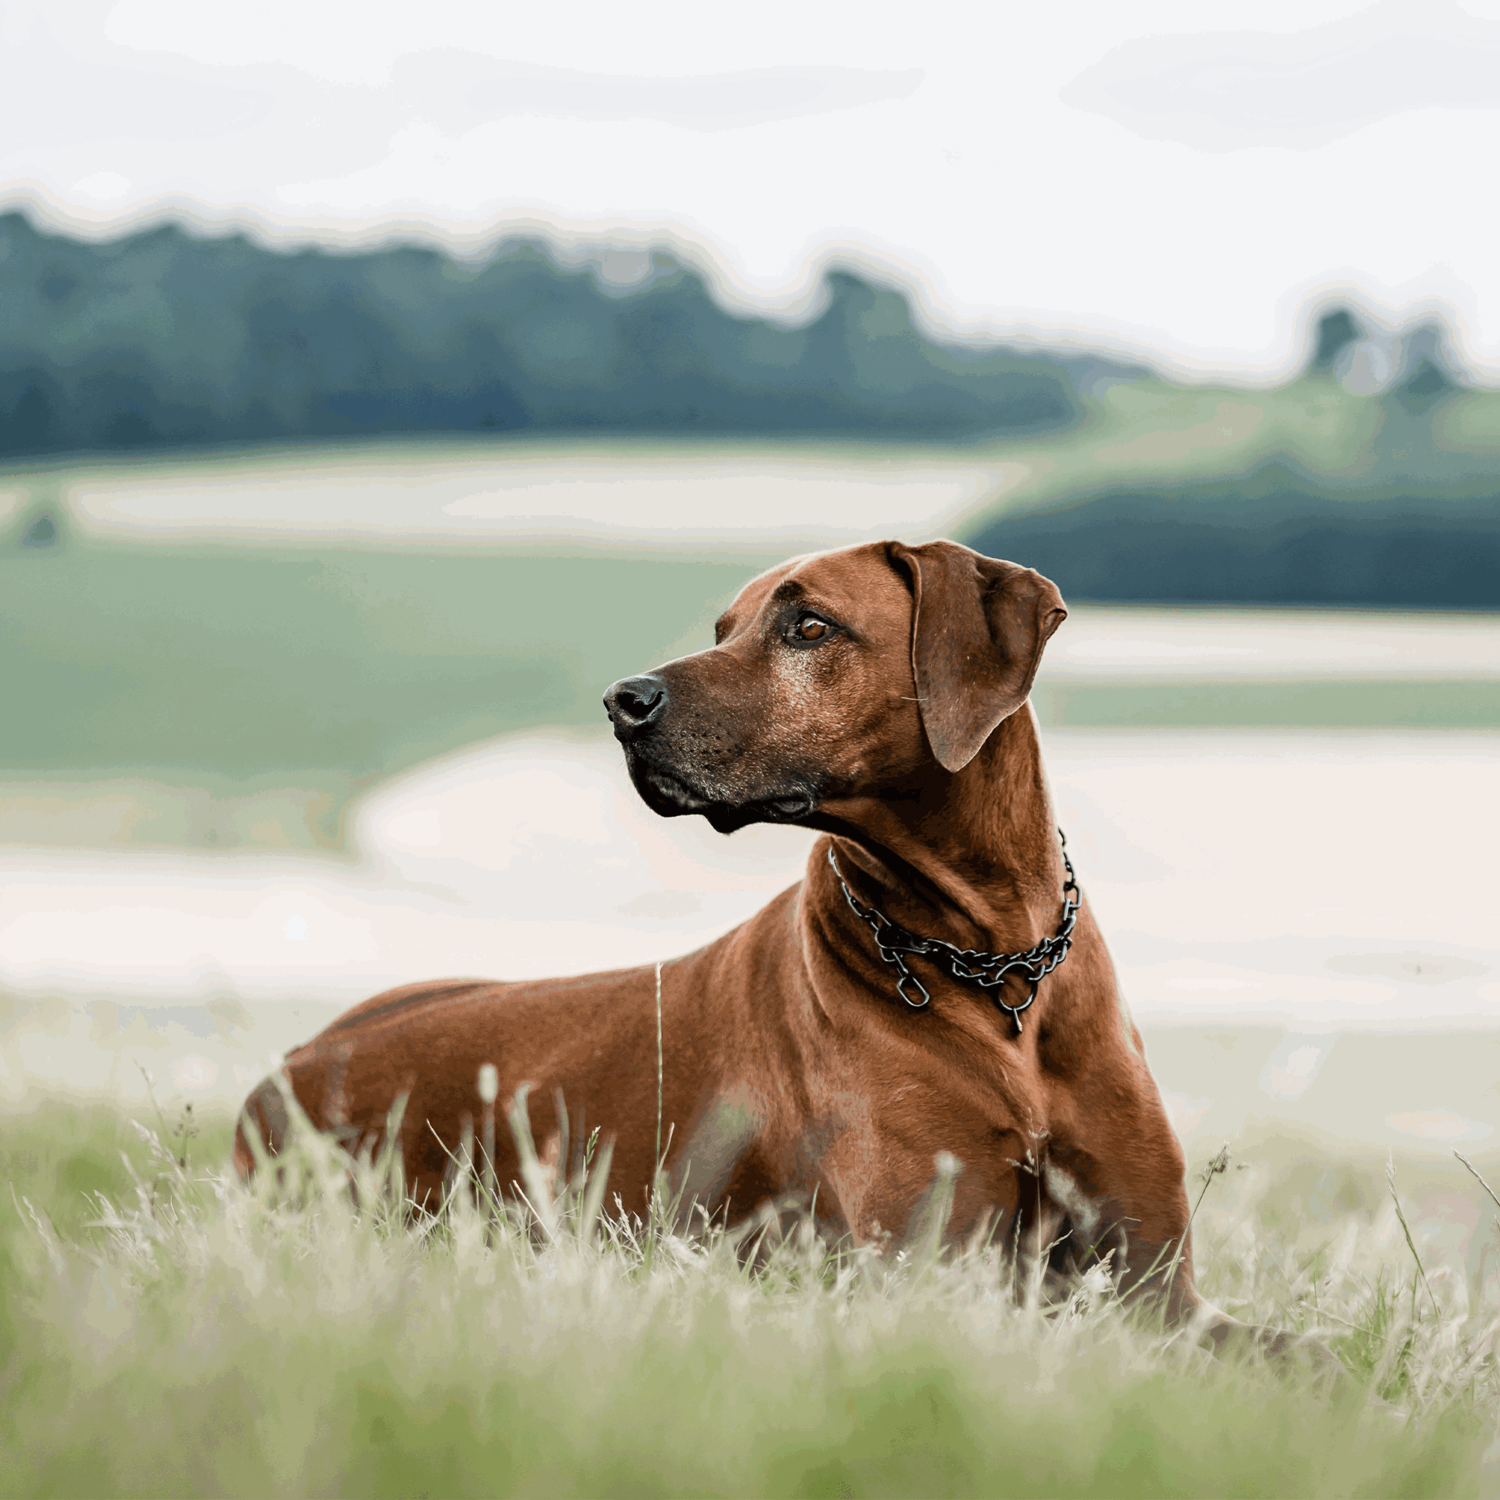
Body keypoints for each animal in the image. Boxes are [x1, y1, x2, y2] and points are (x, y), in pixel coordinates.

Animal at [231, 540, 1278, 1350]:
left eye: (808, 627)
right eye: (725, 628)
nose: (621, 701)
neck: (992, 970)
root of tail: (281, 1072)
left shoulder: (1161, 1291)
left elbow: (1286, 1351)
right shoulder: (930, 1276)